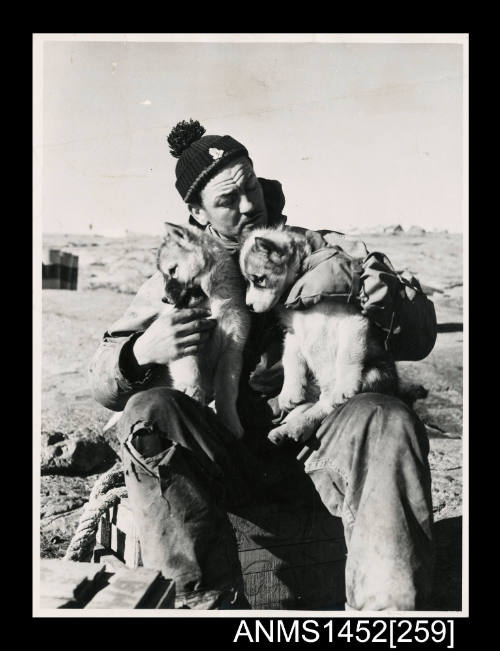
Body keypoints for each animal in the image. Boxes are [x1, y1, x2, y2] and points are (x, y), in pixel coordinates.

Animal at [238, 227, 398, 446]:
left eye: (259, 279)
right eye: (247, 281)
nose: (250, 307)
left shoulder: (353, 319)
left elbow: (347, 356)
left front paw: (345, 385)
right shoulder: (293, 331)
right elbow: (290, 359)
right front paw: (290, 391)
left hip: (374, 373)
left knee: (325, 405)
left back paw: (299, 425)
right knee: (312, 405)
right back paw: (286, 428)